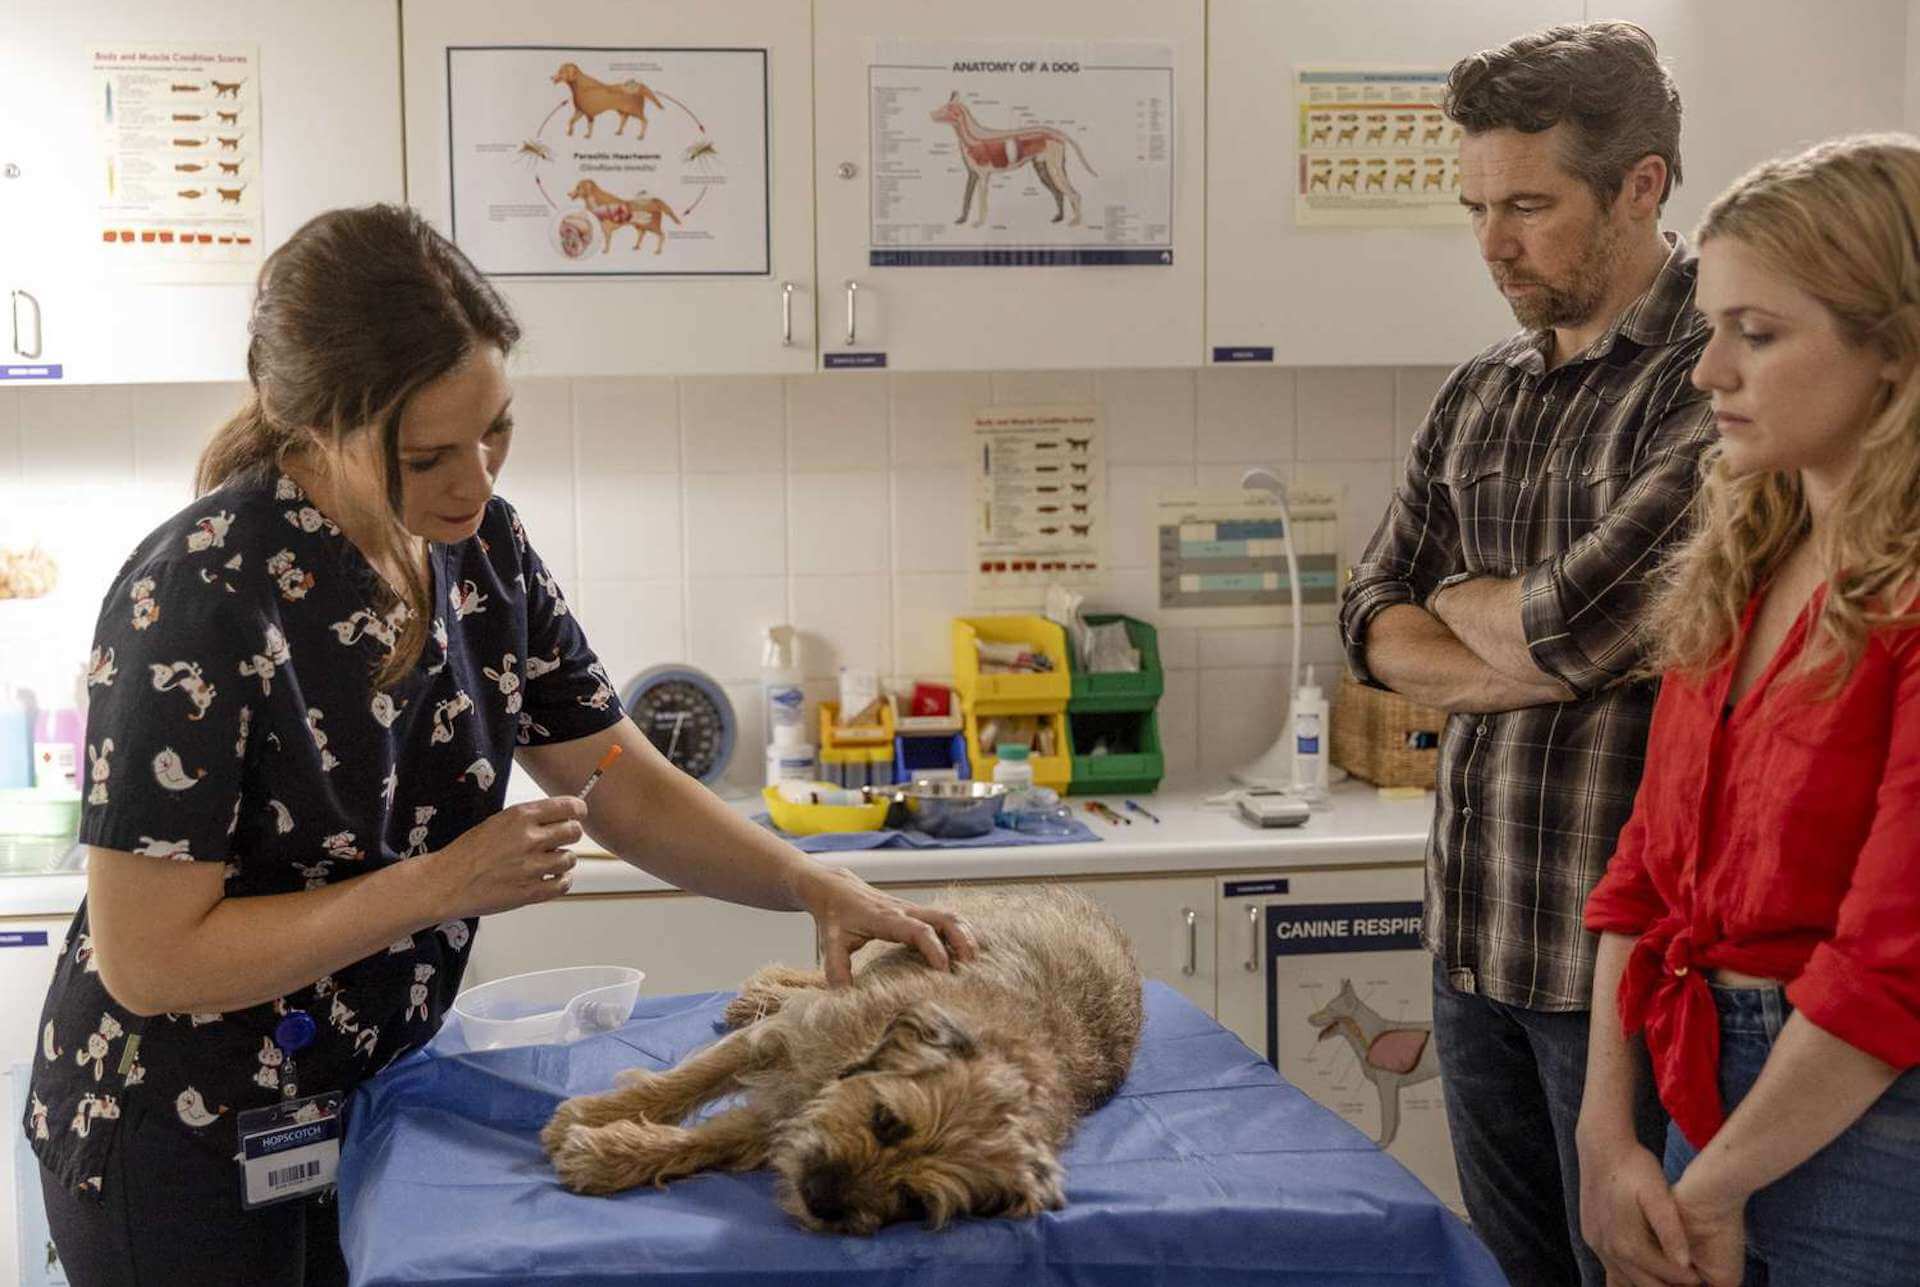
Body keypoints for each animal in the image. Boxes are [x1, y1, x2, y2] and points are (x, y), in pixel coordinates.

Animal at [541, 887, 1136, 1237]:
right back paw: (765, 989)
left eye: (914, 1201)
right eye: (886, 1120)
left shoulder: (788, 1118)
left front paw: (610, 1157)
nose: (822, 1201)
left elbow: (706, 1142)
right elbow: (686, 1081)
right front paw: (589, 1118)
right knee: (823, 977)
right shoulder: (785, 1041)